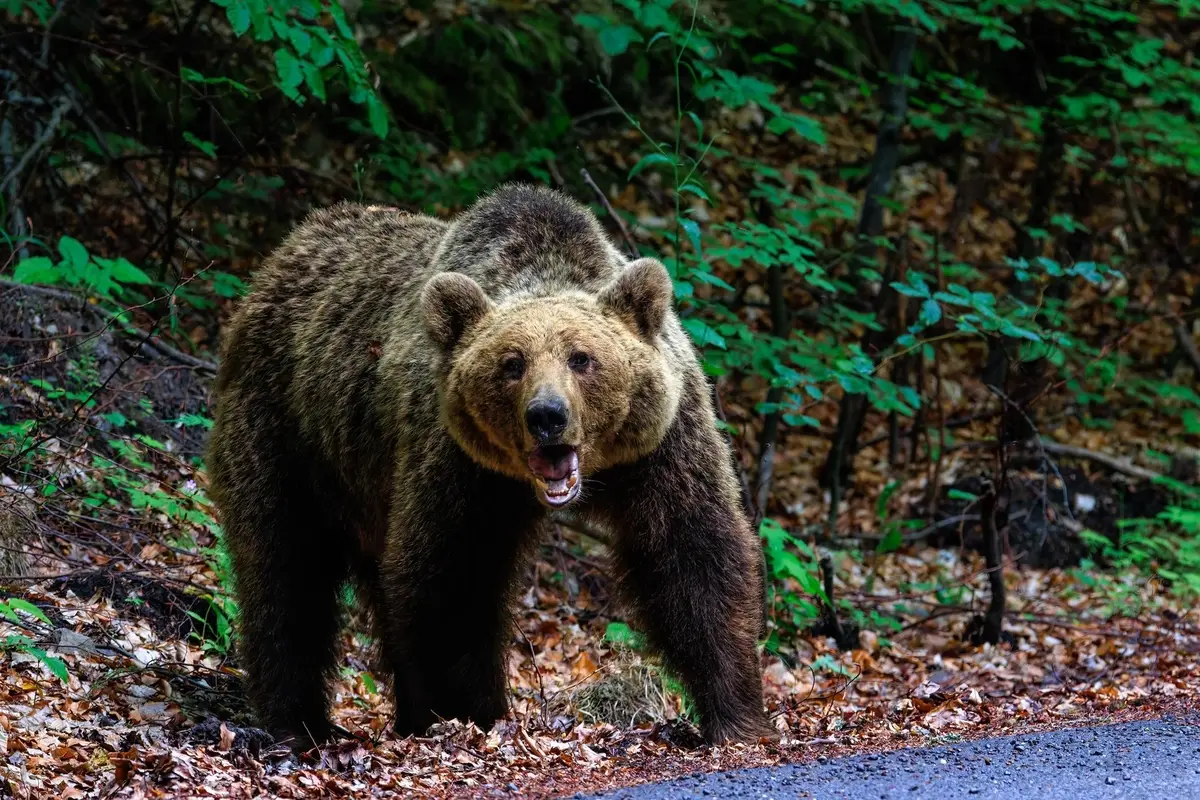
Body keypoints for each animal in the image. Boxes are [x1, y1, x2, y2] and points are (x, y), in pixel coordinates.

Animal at [204, 184, 772, 748]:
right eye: (512, 363)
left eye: (582, 358)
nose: (547, 416)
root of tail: (282, 255)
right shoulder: (458, 462)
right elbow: (453, 576)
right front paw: (471, 712)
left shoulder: (661, 444)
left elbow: (692, 552)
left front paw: (733, 714)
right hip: (288, 432)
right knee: (285, 568)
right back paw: (299, 721)